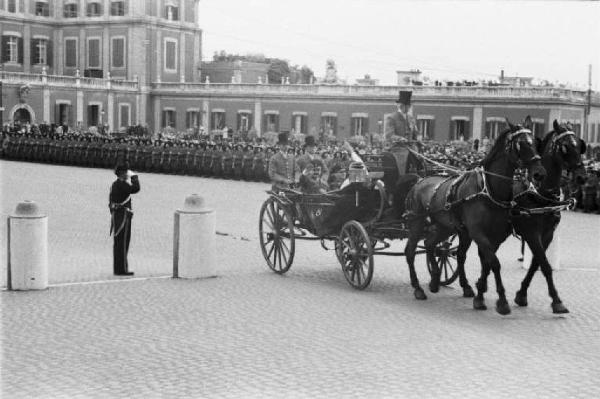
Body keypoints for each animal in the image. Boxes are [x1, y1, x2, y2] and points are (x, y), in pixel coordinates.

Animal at [400, 122, 548, 316]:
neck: (488, 190)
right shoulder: (478, 233)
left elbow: (486, 263)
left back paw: (436, 280)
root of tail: (418, 182)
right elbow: (494, 263)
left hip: (446, 227)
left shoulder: (496, 236)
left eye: (535, 143)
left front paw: (479, 293)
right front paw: (501, 301)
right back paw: (418, 288)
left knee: (431, 244)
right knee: (410, 251)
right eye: (520, 144)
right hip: (417, 224)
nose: (539, 173)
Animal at [512, 120, 588, 314]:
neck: (540, 192)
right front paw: (557, 301)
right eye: (565, 146)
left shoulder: (547, 234)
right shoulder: (531, 233)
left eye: (579, 144)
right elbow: (545, 265)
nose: (582, 177)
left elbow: (536, 264)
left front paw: (521, 294)